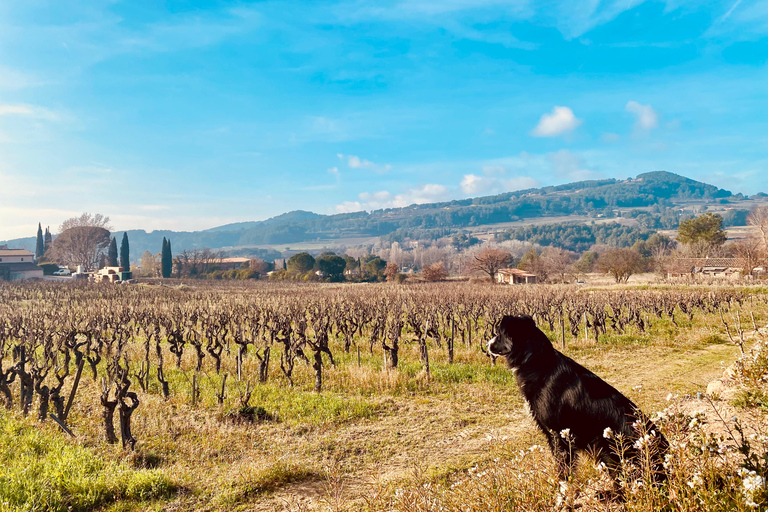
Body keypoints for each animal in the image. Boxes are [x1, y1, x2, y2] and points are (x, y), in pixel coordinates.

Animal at [488, 314, 668, 486]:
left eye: (499, 333)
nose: (488, 344)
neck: (536, 359)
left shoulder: (558, 435)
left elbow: (564, 470)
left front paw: (564, 491)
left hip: (604, 446)